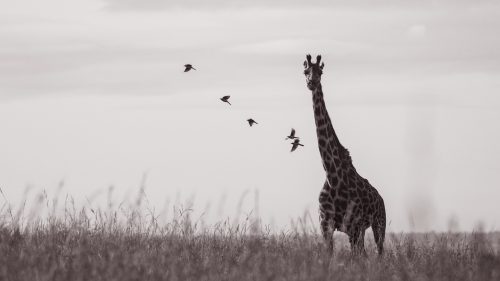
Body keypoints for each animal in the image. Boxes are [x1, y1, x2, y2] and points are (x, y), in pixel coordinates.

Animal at [302, 54, 384, 254]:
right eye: (305, 71)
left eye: (320, 72)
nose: (311, 83)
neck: (332, 176)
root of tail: (381, 198)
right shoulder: (326, 226)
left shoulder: (355, 225)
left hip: (378, 224)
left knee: (378, 252)